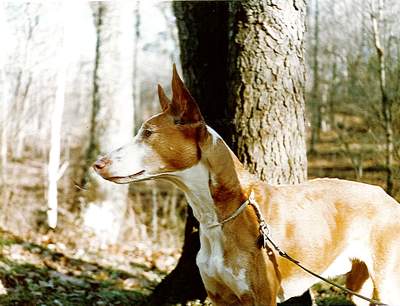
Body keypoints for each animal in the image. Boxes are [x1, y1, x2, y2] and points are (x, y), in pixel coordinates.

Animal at [93, 67, 400, 306]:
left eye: (147, 133)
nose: (97, 164)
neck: (220, 213)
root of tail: (388, 197)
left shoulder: (262, 297)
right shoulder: (219, 297)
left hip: (387, 284)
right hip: (359, 288)